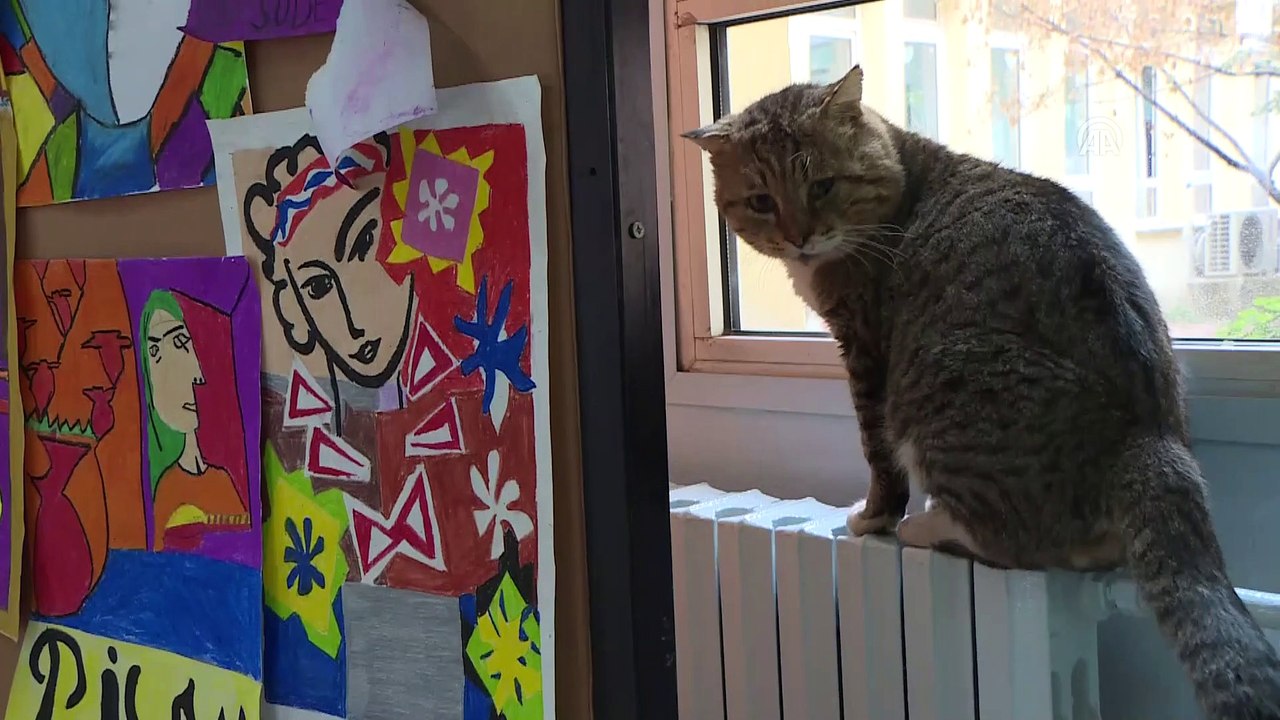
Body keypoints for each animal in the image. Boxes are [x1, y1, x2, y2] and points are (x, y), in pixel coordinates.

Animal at [684, 65, 1280, 719]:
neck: (903, 177)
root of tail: (1145, 441)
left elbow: (877, 456)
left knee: (1012, 540)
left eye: (823, 186)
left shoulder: (865, 351)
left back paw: (925, 527)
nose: (799, 238)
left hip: (937, 389)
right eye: (761, 201)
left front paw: (873, 517)